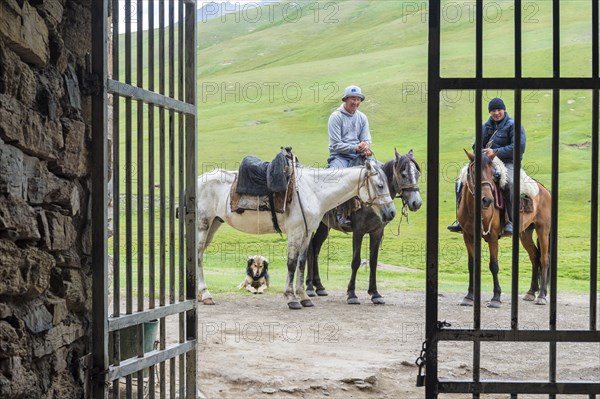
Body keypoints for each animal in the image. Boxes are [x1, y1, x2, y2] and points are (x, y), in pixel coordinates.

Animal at [195, 159, 396, 310]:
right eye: (380, 185)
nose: (391, 213)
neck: (313, 191)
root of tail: (198, 180)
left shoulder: (306, 233)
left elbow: (301, 263)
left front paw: (304, 296)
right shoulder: (295, 232)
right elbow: (291, 264)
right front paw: (291, 298)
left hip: (214, 224)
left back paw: (200, 295)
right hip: (203, 226)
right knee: (198, 256)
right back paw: (206, 294)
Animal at [460, 152, 552, 308]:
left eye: (493, 174)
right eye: (473, 172)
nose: (487, 200)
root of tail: (544, 190)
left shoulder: (492, 237)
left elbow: (494, 266)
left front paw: (496, 298)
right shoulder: (468, 237)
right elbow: (471, 265)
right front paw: (469, 296)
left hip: (543, 230)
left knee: (544, 259)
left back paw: (541, 296)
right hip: (525, 233)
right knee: (535, 257)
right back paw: (531, 292)